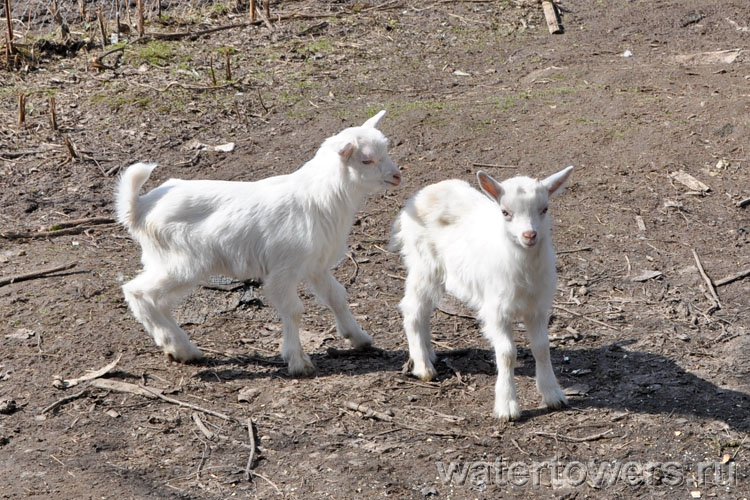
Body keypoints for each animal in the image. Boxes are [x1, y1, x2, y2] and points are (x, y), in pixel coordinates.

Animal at [116, 110, 401, 376]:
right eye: (366, 160)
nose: (397, 176)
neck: (318, 197)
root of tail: (140, 208)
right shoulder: (283, 269)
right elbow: (294, 309)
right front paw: (298, 362)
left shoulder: (315, 265)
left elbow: (337, 295)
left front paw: (359, 338)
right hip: (180, 262)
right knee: (138, 292)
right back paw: (177, 345)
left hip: (164, 262)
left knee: (158, 301)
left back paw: (180, 348)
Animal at [390, 166, 573, 420]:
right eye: (505, 212)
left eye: (544, 209)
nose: (529, 235)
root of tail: (422, 195)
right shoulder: (495, 309)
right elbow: (507, 353)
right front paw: (507, 407)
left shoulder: (537, 307)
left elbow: (541, 347)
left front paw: (553, 395)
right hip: (423, 264)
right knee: (412, 309)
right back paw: (423, 366)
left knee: (424, 311)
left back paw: (429, 353)